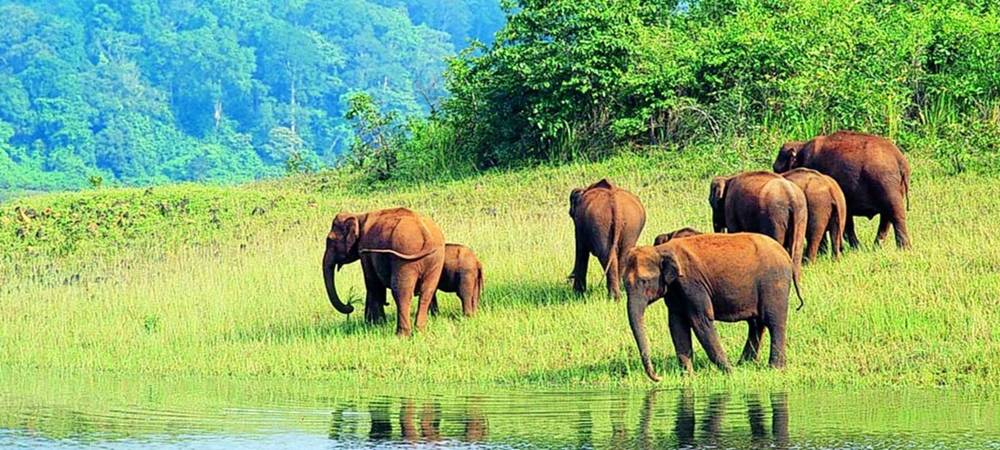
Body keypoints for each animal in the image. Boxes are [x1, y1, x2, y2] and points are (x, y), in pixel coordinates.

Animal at [322, 206, 444, 336]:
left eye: (329, 240)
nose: (350, 305)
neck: (359, 217)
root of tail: (426, 235)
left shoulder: (364, 250)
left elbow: (372, 284)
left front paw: (378, 325)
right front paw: (372, 324)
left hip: (405, 258)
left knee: (401, 292)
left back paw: (402, 335)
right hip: (436, 260)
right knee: (427, 292)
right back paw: (420, 331)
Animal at [620, 234, 800, 382]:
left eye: (644, 281)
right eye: (625, 283)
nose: (659, 378)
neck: (660, 250)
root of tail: (786, 255)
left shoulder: (691, 284)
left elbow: (701, 321)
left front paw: (730, 373)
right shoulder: (674, 290)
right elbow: (677, 325)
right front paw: (688, 377)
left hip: (774, 282)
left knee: (774, 322)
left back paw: (775, 369)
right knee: (756, 323)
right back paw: (745, 364)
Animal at [772, 130, 916, 250]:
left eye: (775, 168)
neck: (801, 146)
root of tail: (901, 161)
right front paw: (857, 249)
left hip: (886, 183)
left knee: (895, 213)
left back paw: (904, 248)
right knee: (886, 217)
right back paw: (877, 247)